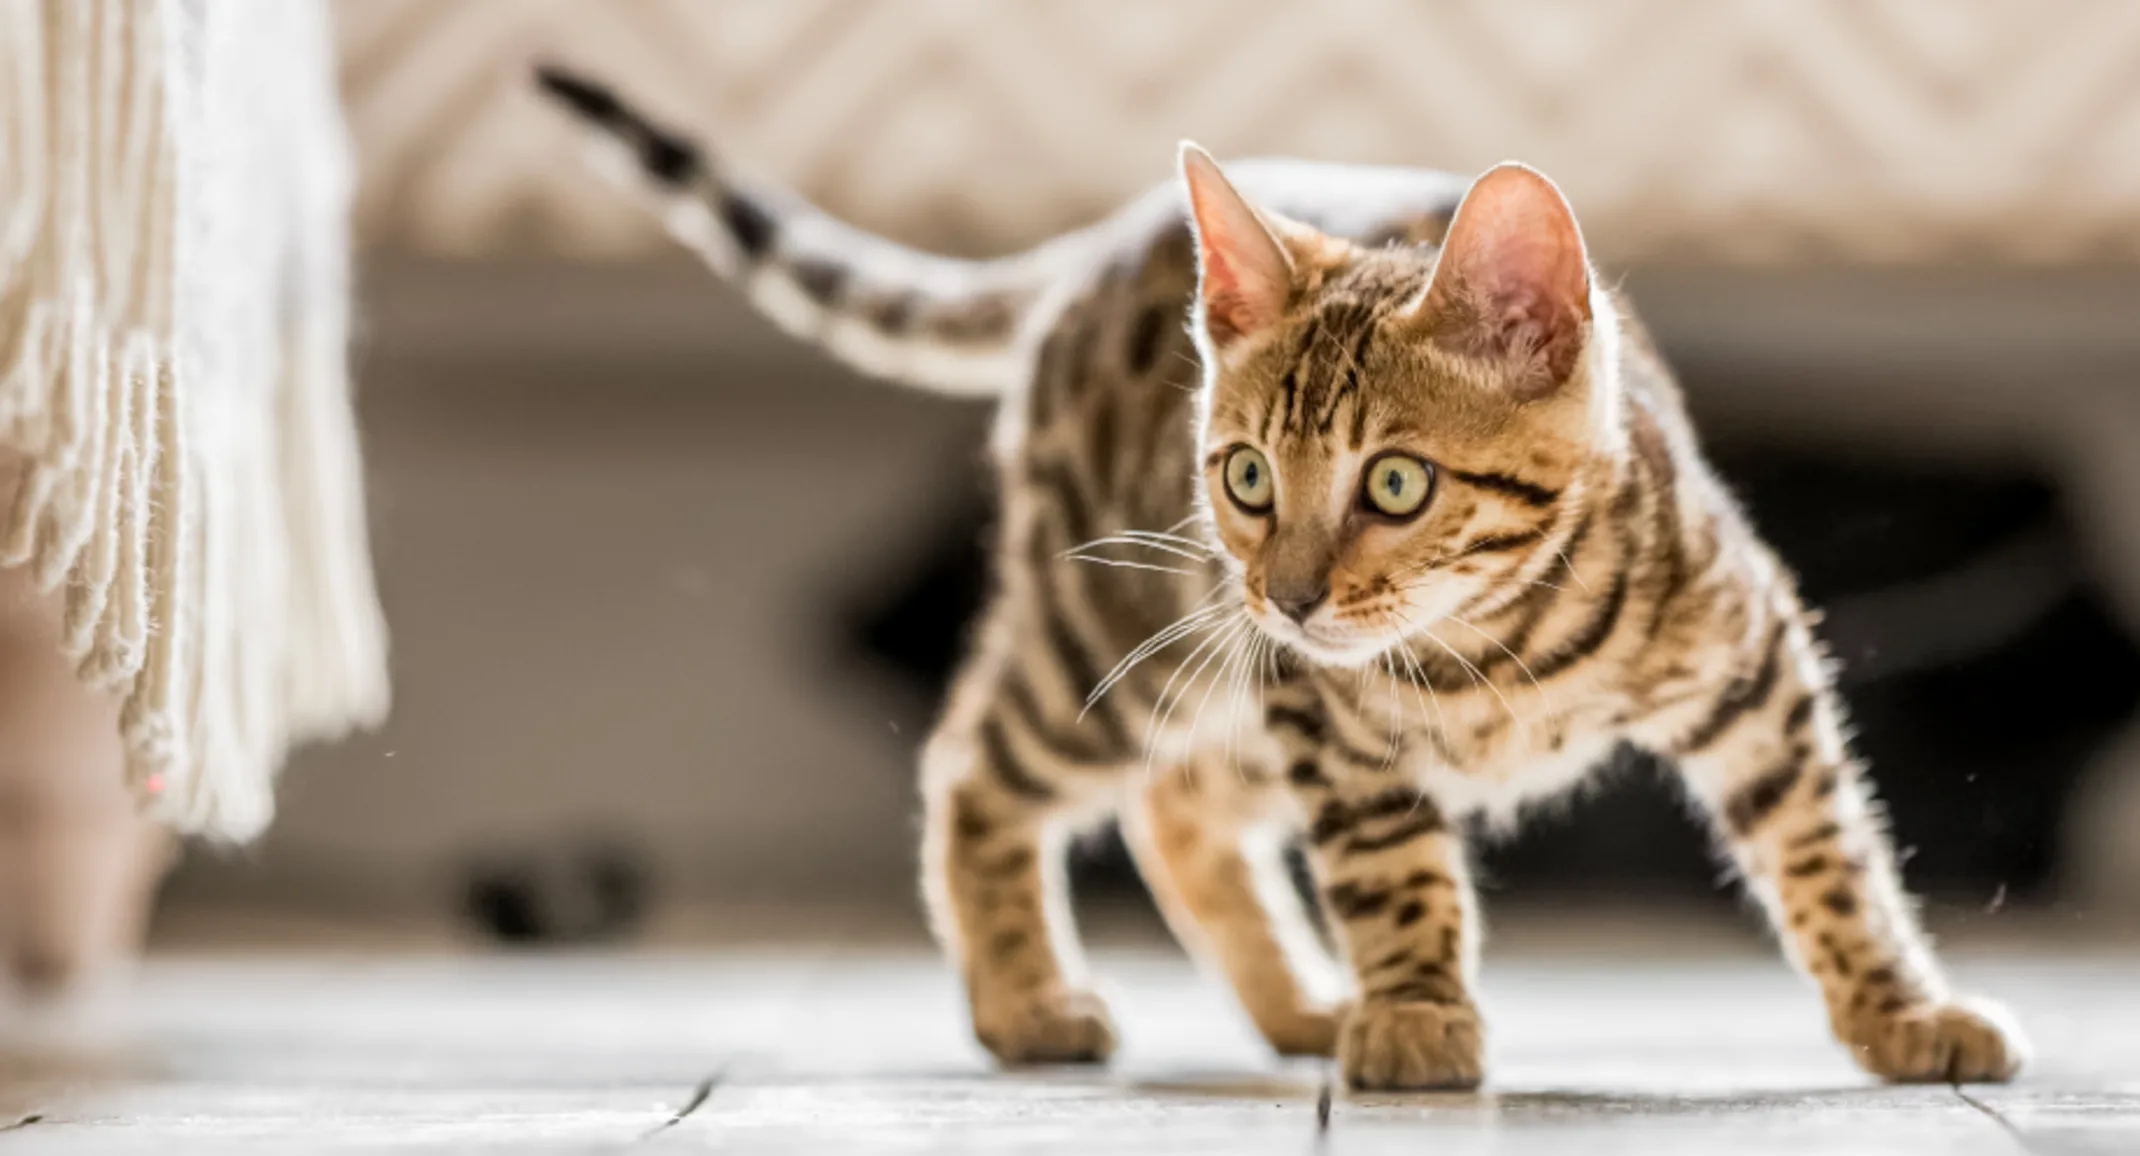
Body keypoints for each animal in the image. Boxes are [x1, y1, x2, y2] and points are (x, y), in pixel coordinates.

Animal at [539, 65, 2020, 1091]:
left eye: (1397, 485)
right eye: (1248, 476)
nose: (1295, 593)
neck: (1501, 642)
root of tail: (1099, 248)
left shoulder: (1754, 663)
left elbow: (1828, 848)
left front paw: (1898, 1011)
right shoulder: (1331, 720)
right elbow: (1389, 864)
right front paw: (1416, 1006)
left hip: (1225, 676)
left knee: (1178, 809)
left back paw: (1300, 1001)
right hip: (1126, 636)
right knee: (976, 765)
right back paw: (1028, 1001)